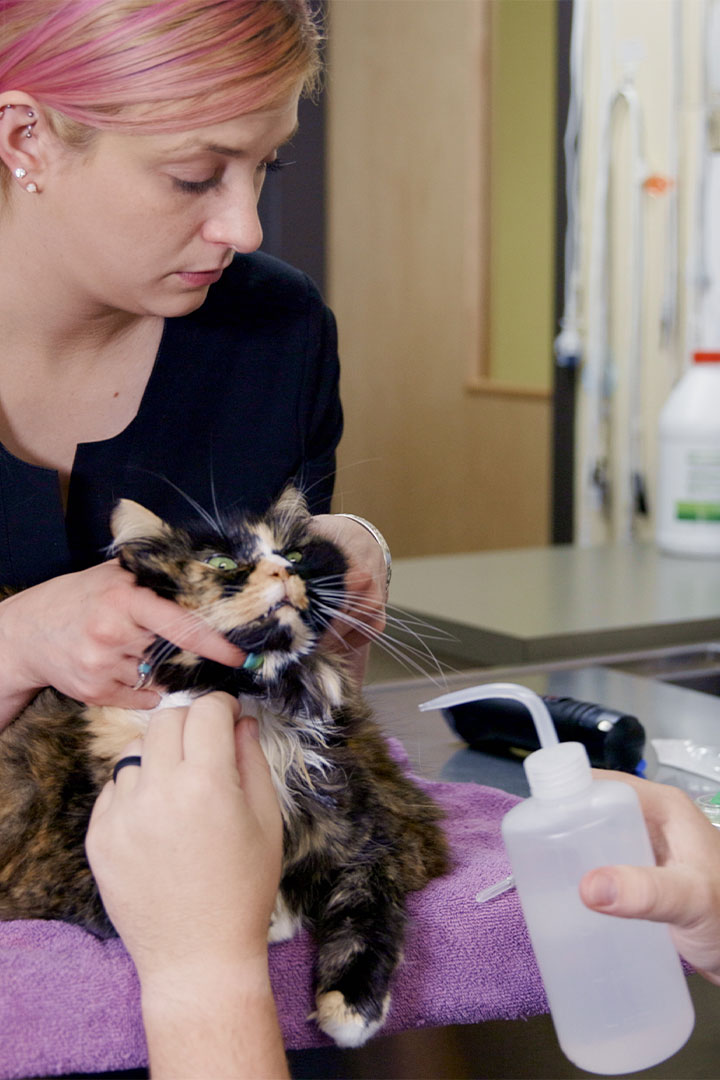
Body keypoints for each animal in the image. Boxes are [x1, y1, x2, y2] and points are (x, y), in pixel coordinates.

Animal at [0, 488, 451, 1045]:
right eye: (220, 563)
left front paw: (350, 1007)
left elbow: (367, 906)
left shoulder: (384, 837)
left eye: (295, 553)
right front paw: (273, 915)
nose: (284, 571)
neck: (254, 701)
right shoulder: (53, 868)